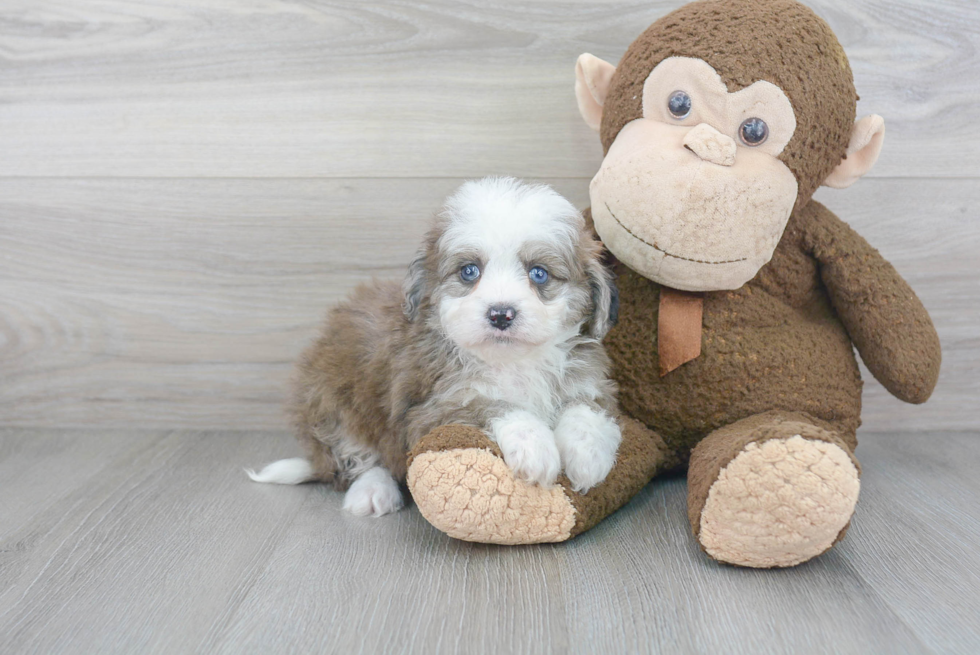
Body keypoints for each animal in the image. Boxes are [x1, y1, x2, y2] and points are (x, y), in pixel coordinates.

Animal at [251, 177, 620, 516]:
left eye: (539, 274)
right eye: (469, 271)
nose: (500, 314)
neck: (512, 361)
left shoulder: (591, 381)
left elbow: (584, 407)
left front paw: (588, 454)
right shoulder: (428, 410)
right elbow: (492, 403)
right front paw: (534, 445)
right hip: (331, 401)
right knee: (359, 456)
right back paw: (372, 492)